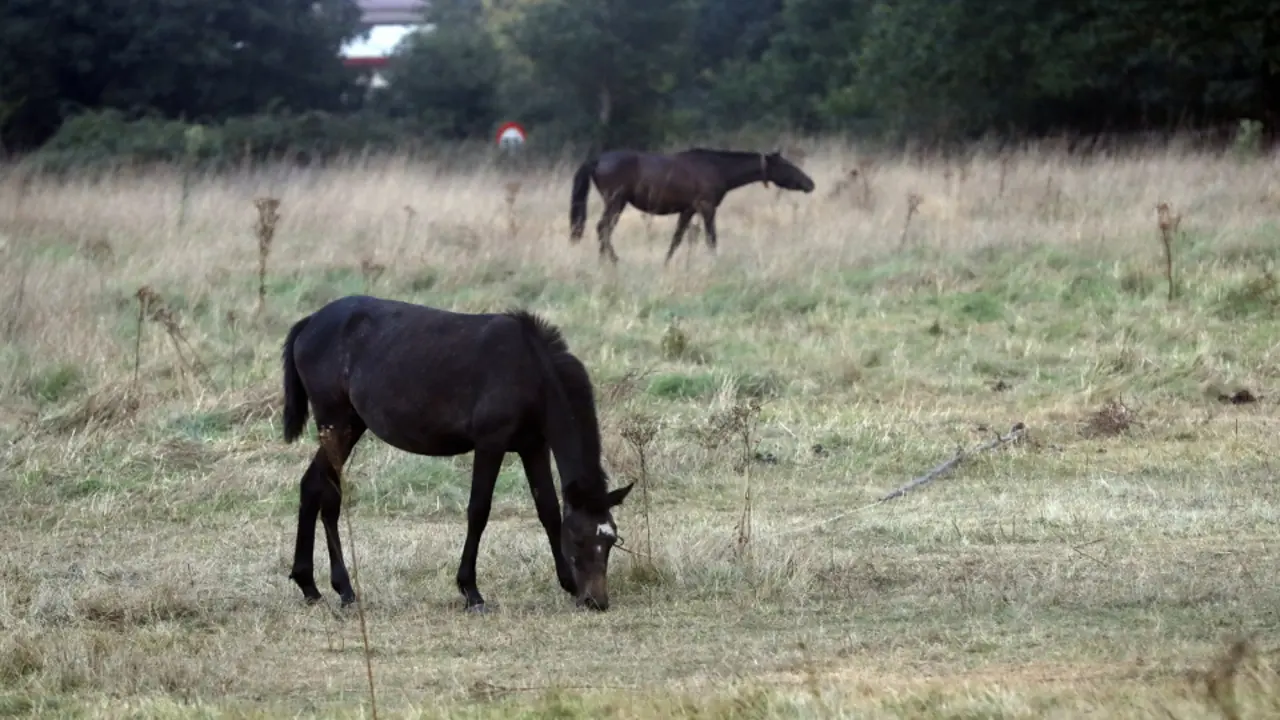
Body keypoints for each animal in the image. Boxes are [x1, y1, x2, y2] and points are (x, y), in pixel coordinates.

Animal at [279, 295, 634, 613]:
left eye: (612, 540)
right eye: (579, 540)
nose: (596, 602)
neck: (531, 369)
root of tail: (309, 323)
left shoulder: (534, 446)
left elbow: (547, 509)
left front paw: (567, 583)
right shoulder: (490, 444)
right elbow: (479, 510)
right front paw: (471, 592)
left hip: (351, 425)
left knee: (312, 485)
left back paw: (309, 585)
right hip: (335, 423)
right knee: (329, 496)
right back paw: (345, 590)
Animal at [568, 148, 816, 265]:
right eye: (786, 165)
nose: (809, 183)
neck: (717, 167)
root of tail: (597, 160)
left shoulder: (688, 210)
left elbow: (676, 239)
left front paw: (666, 263)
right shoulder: (707, 207)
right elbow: (711, 238)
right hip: (616, 201)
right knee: (603, 228)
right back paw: (611, 261)